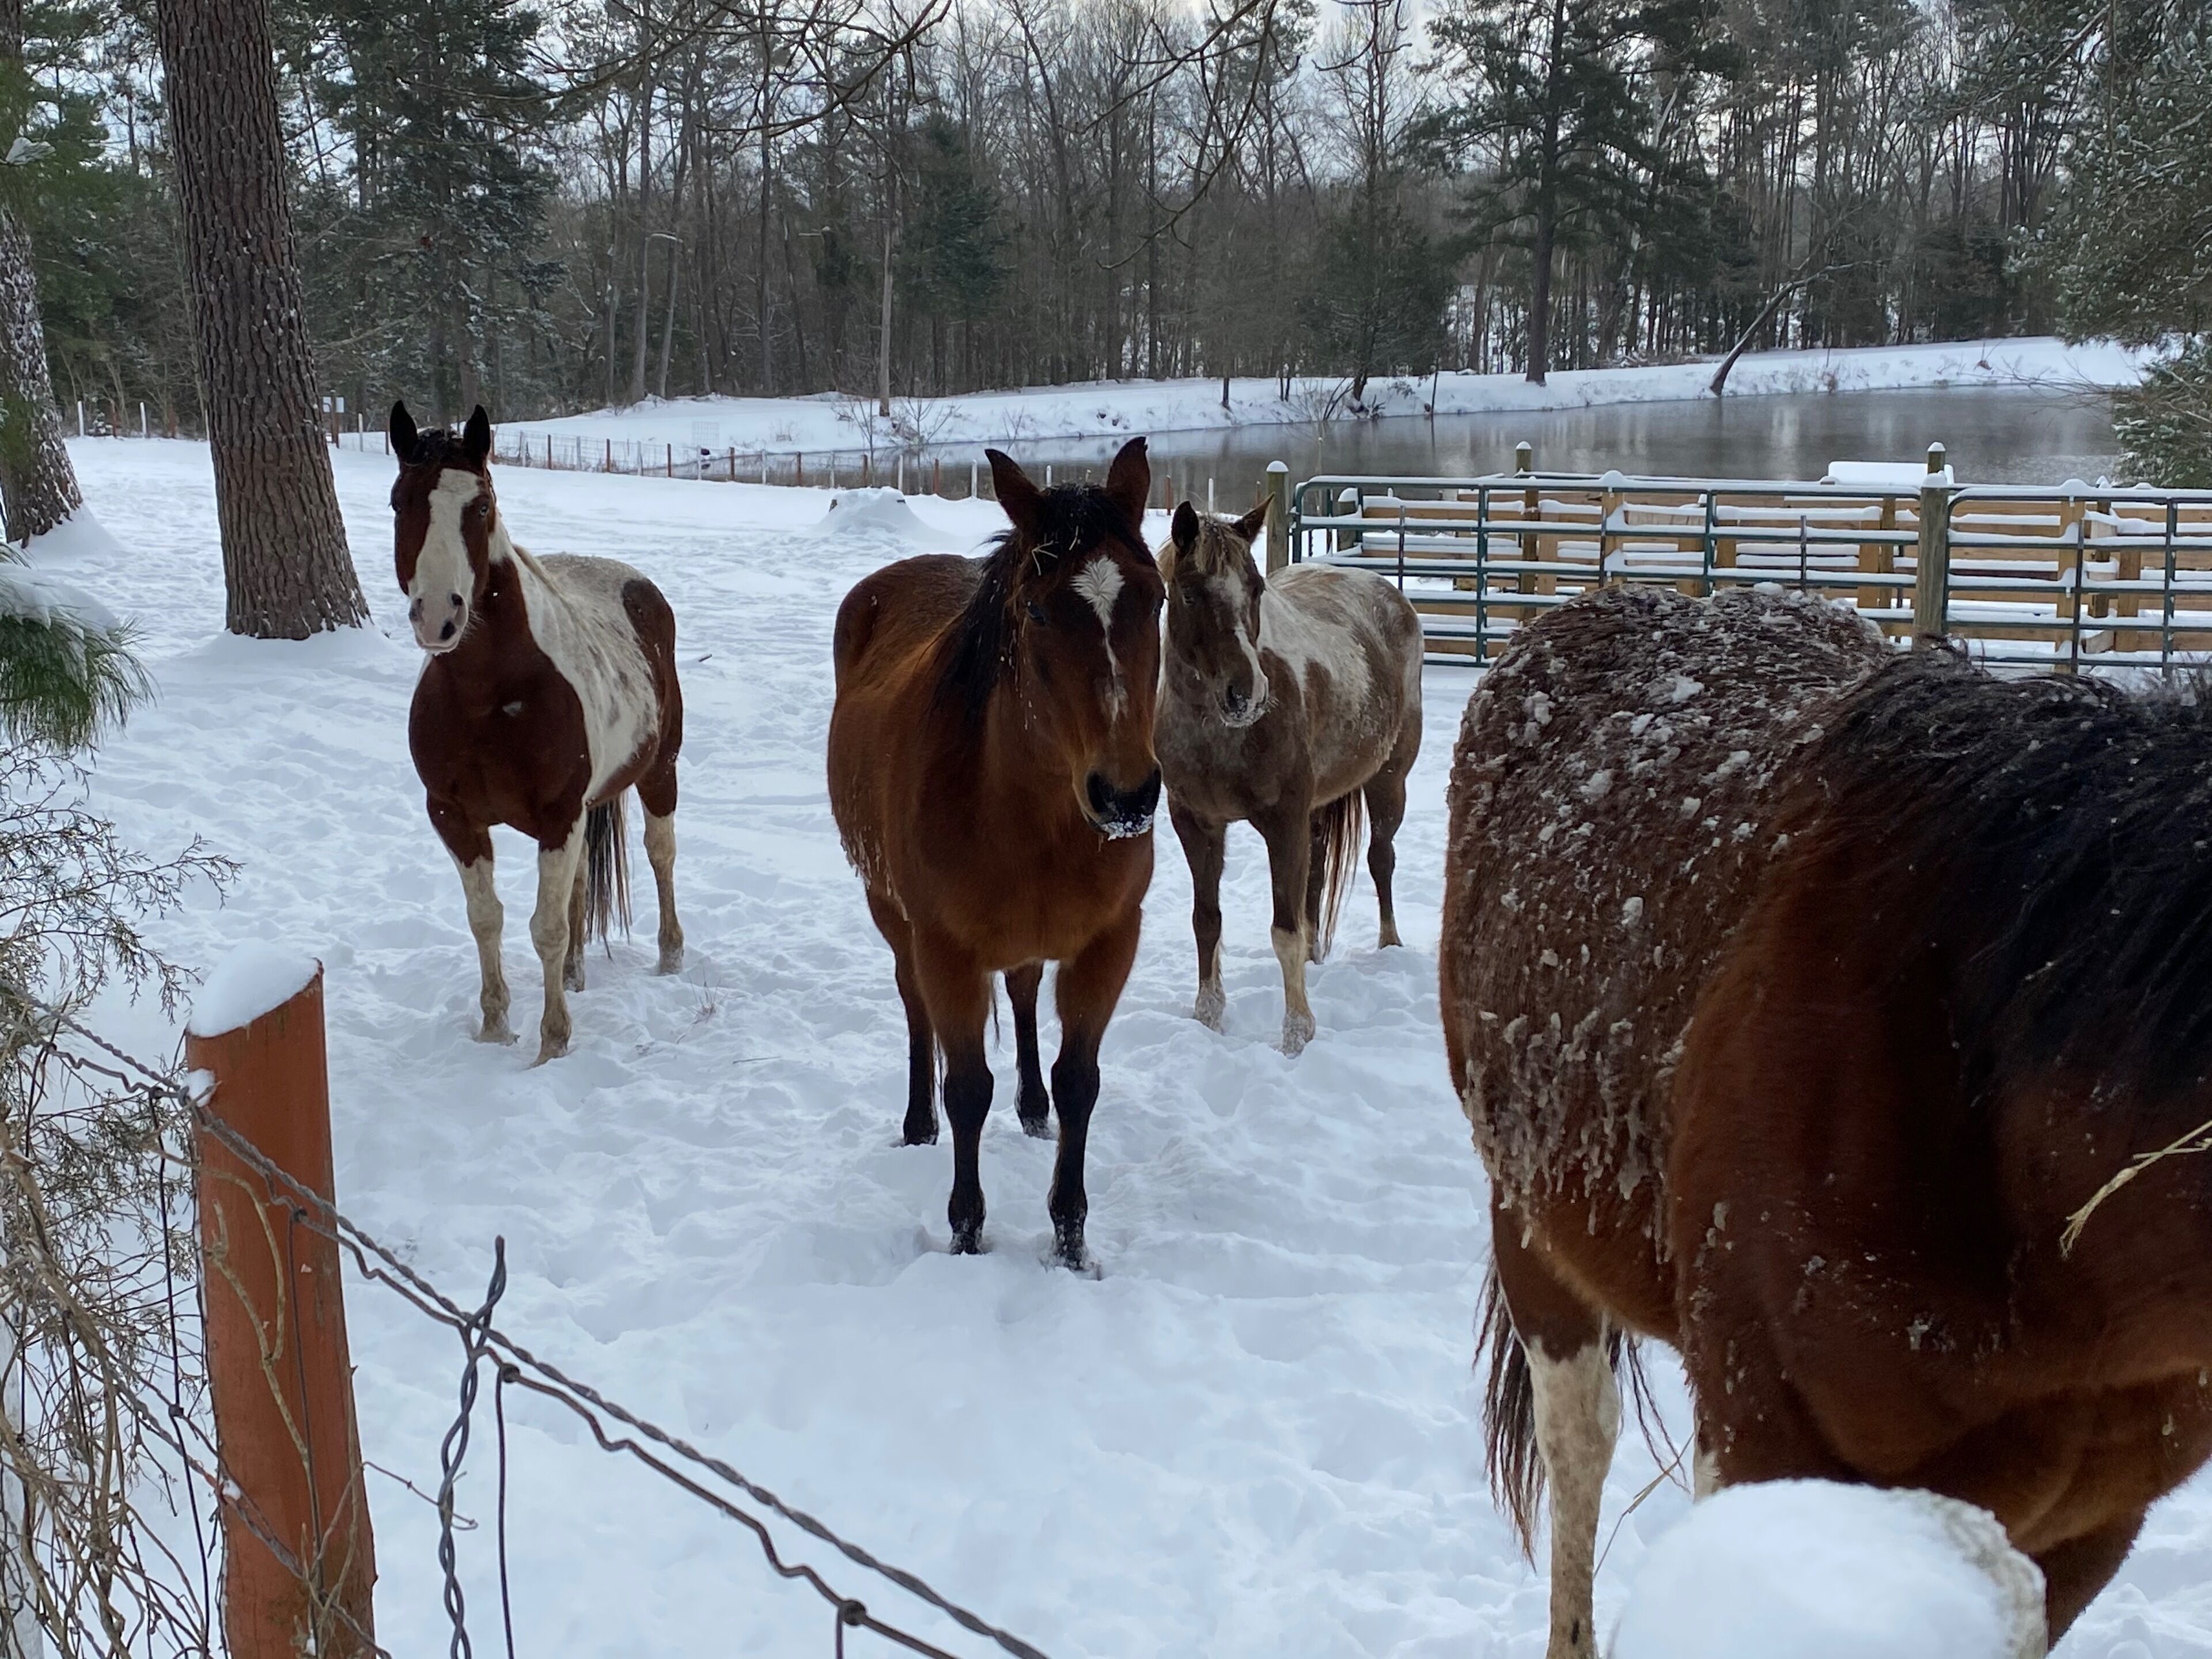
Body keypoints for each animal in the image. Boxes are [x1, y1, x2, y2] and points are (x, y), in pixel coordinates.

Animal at [391, 403, 685, 1066]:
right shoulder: (454, 816)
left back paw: (671, 956)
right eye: (400, 502)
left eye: (481, 506)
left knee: (661, 855)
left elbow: (544, 930)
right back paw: (576, 972)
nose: (438, 616)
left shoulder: (558, 815)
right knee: (577, 887)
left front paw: (553, 1044)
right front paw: (495, 1028)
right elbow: (488, 919)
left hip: (659, 772)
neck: (489, 696)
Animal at [826, 438, 1163, 1268]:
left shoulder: (1110, 941)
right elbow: (968, 1088)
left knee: (1022, 989)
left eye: (1156, 598)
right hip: (891, 912)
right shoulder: (946, 947)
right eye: (1037, 608)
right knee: (914, 1006)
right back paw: (918, 1123)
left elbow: (1079, 1081)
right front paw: (966, 1231)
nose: (1126, 796)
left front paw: (1071, 1239)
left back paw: (1032, 1107)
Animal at [1153, 500, 1422, 1054]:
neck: (1217, 737)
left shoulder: (1283, 823)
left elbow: (1284, 931)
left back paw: (1390, 946)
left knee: (1381, 860)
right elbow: (1207, 921)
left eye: (1255, 587)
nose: (1247, 693)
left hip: (1389, 782)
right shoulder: (1194, 823)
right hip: (1316, 811)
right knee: (1316, 877)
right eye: (1189, 592)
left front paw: (1297, 1034)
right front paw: (1208, 1016)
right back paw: (1318, 957)